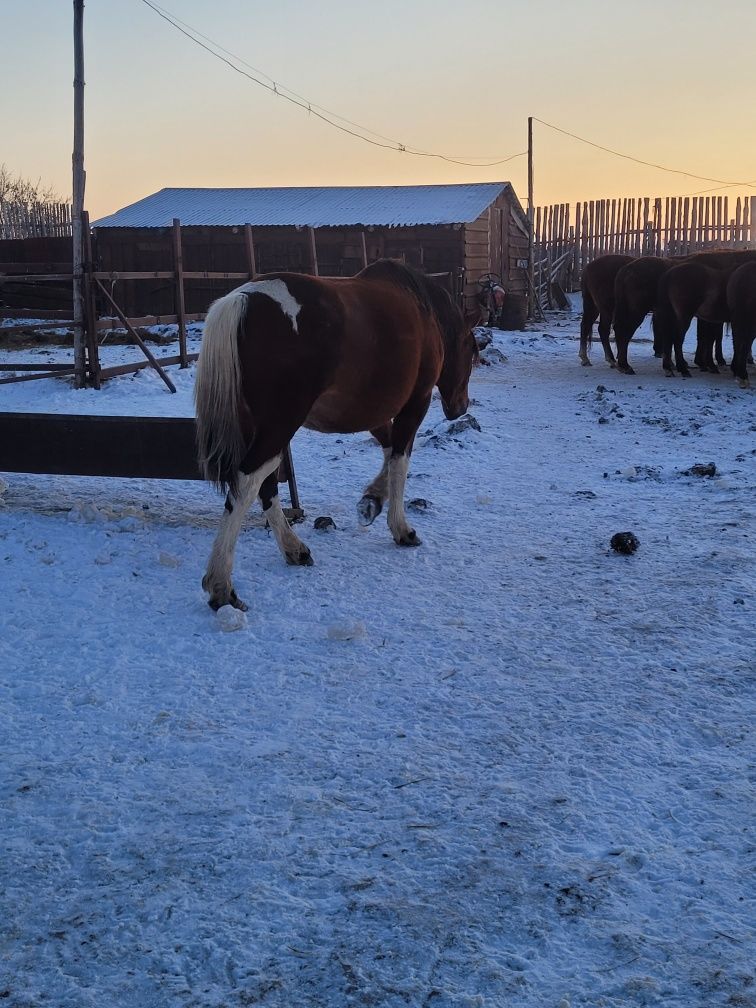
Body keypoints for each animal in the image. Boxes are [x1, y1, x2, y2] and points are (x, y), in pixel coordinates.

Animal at [195, 260, 479, 608]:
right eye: (473, 348)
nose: (460, 407)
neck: (423, 308)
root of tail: (243, 300)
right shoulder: (416, 403)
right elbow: (400, 460)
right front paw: (401, 528)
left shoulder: (371, 411)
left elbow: (388, 452)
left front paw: (371, 501)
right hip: (279, 425)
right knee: (248, 481)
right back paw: (221, 584)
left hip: (265, 428)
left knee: (265, 484)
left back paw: (294, 549)